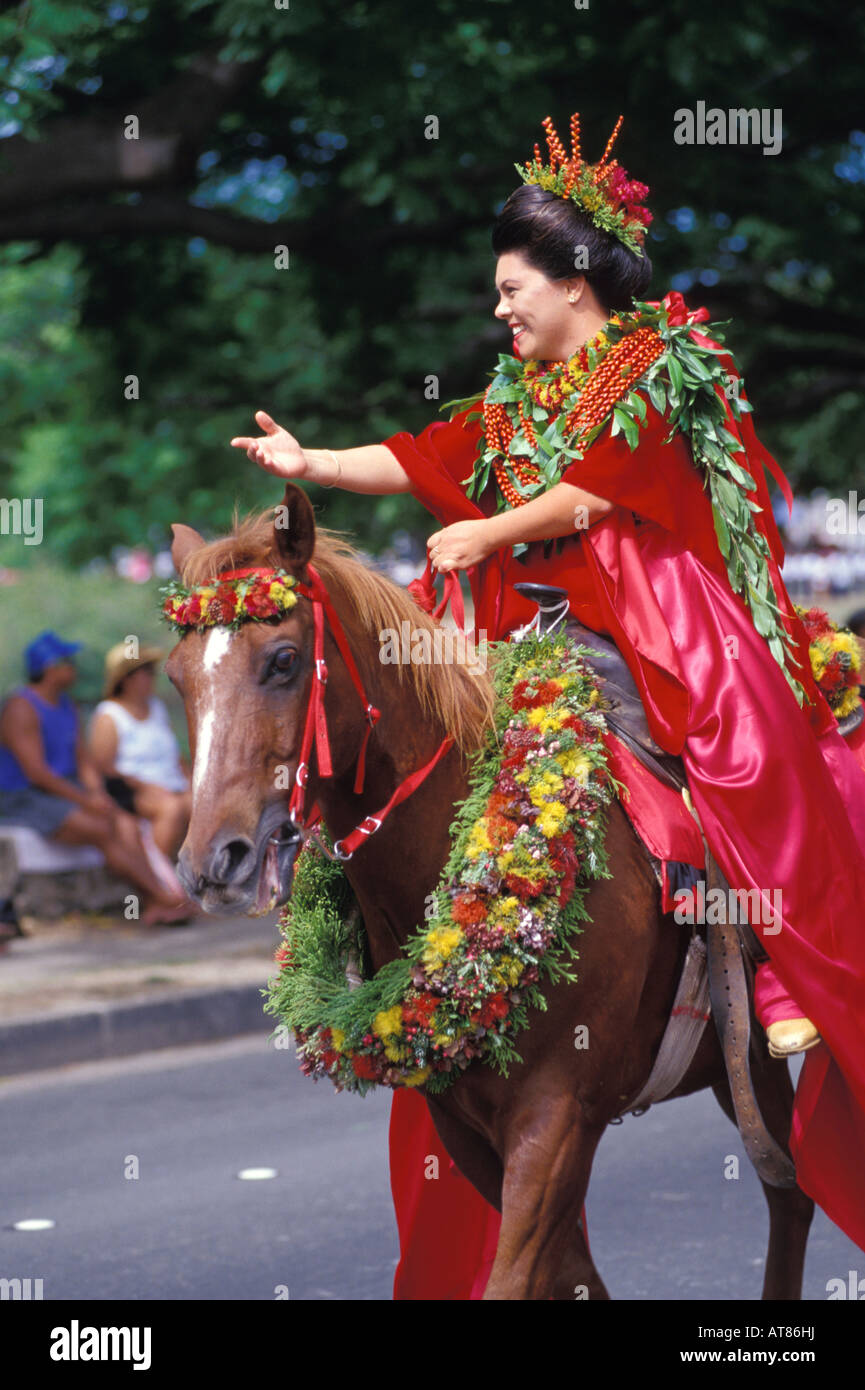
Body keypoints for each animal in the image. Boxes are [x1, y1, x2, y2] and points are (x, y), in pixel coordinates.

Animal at [166, 483, 817, 1295]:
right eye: (176, 677)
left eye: (283, 660)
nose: (211, 862)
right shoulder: (467, 1129)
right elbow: (571, 1278)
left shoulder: (558, 1120)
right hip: (741, 1063)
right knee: (790, 1195)